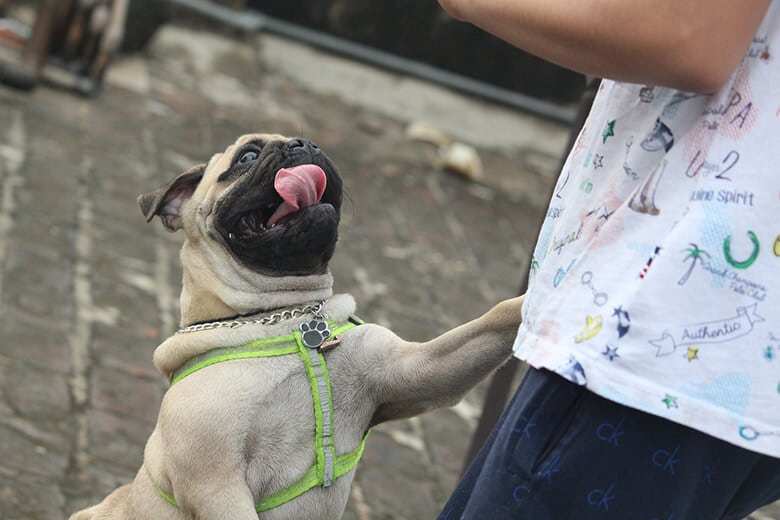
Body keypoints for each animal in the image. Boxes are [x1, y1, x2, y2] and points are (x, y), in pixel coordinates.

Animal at [71, 134, 524, 520]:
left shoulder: (419, 371)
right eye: (247, 157)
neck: (285, 318)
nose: (304, 144)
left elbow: (497, 317)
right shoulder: (217, 486)